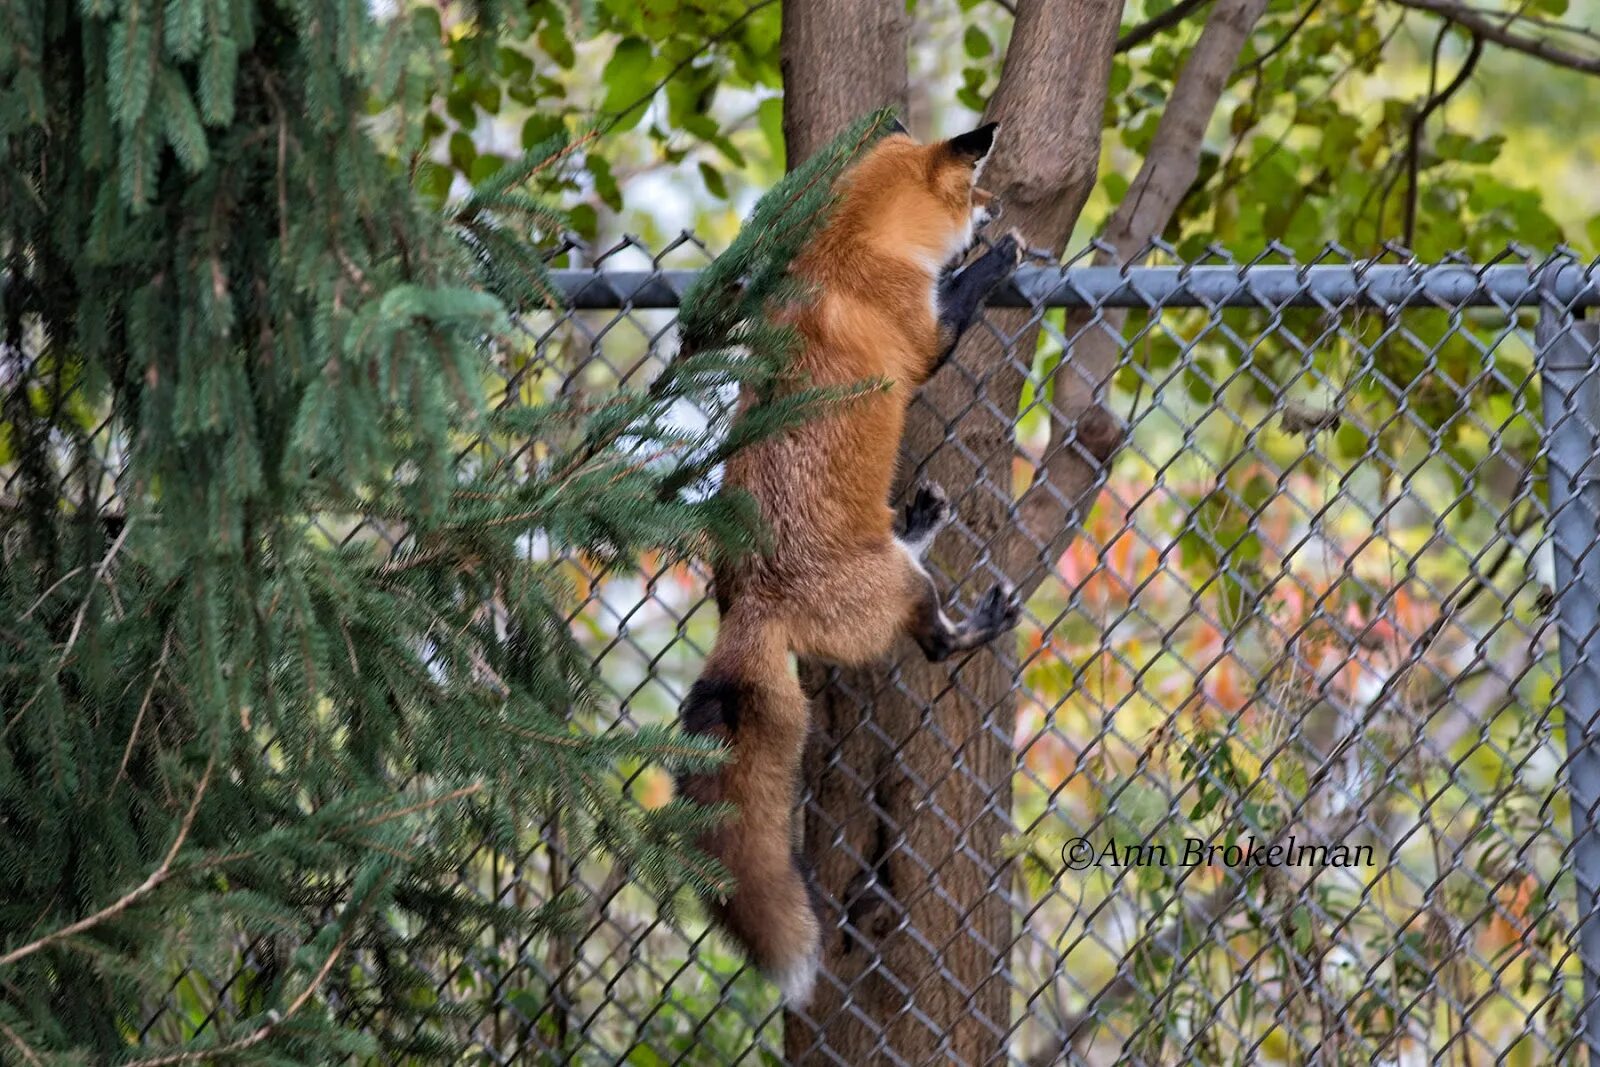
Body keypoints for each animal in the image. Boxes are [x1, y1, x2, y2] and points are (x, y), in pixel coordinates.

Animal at [675, 120, 1024, 1004]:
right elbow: (959, 299)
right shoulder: (927, 338)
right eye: (975, 190)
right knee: (933, 641)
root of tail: (750, 606)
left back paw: (921, 517)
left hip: (884, 563)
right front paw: (998, 258)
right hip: (904, 587)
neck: (847, 250)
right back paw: (980, 621)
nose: (997, 206)